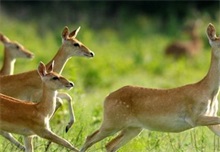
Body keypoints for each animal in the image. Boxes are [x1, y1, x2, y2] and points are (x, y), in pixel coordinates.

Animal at [80, 22, 220, 152]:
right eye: (218, 44)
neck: (209, 92)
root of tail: (107, 97)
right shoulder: (194, 117)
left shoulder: (208, 116)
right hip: (112, 121)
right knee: (90, 138)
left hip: (133, 128)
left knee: (110, 145)